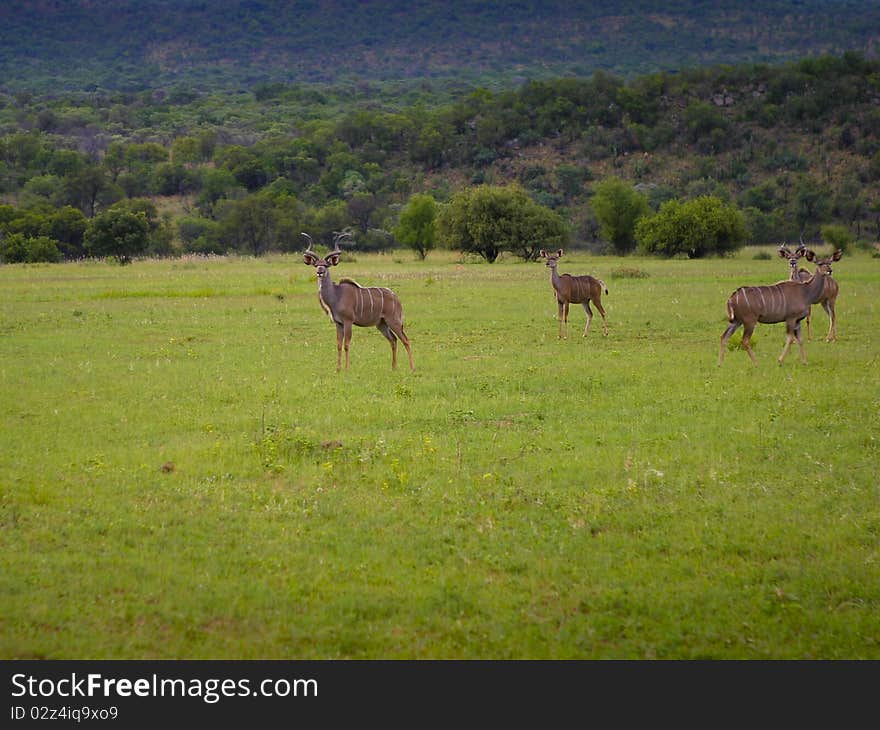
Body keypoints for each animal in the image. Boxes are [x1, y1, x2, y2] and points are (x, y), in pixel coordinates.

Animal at [300, 232, 414, 372]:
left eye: (326, 265)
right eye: (316, 265)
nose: (320, 272)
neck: (336, 295)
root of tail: (396, 298)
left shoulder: (348, 321)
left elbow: (346, 345)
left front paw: (346, 369)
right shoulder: (338, 323)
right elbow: (339, 345)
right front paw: (337, 369)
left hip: (393, 321)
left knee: (405, 340)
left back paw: (412, 368)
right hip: (381, 324)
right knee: (393, 340)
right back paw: (393, 367)